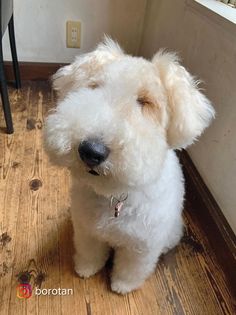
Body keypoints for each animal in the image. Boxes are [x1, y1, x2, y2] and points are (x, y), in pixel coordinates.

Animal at [44, 38, 216, 296]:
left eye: (145, 102)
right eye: (94, 86)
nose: (91, 151)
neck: (115, 196)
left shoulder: (141, 247)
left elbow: (131, 269)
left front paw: (122, 286)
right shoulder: (87, 230)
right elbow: (90, 253)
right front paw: (86, 269)